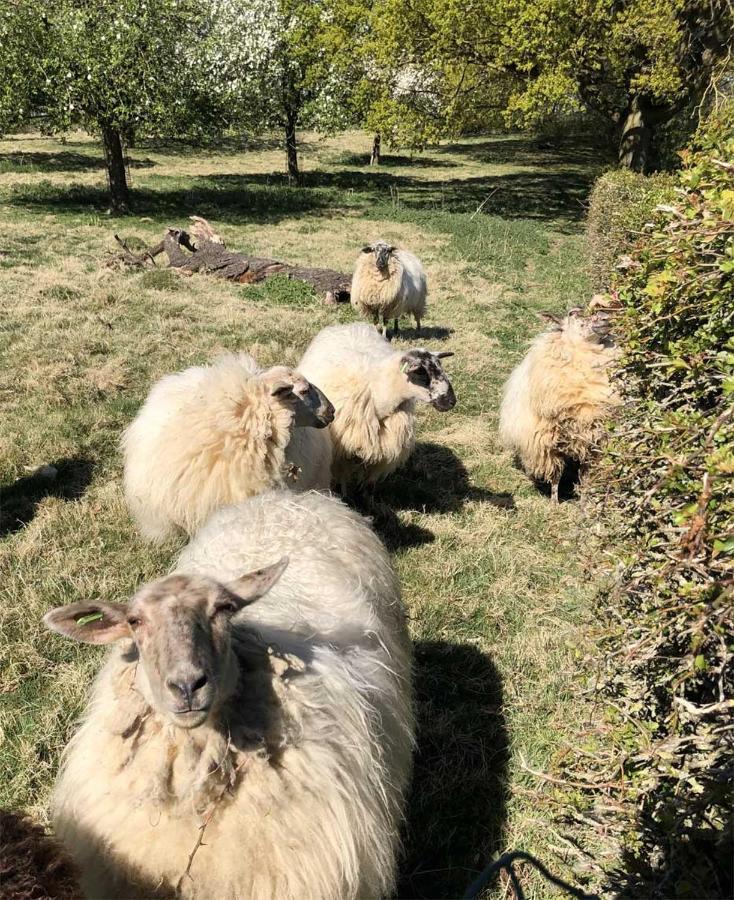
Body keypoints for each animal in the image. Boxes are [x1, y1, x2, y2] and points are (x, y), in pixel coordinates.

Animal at [302, 324, 458, 492]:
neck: (376, 393)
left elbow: (368, 486)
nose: (451, 401)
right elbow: (342, 483)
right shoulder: (341, 454)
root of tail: (348, 325)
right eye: (421, 373)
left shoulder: (379, 457)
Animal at [500, 302, 620, 500]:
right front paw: (554, 502)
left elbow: (585, 476)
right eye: (573, 313)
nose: (605, 317)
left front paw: (584, 501)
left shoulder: (592, 439)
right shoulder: (547, 442)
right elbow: (555, 476)